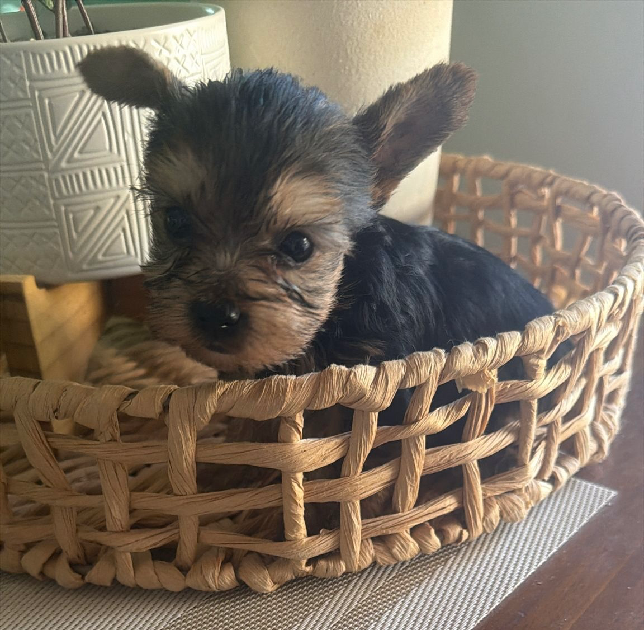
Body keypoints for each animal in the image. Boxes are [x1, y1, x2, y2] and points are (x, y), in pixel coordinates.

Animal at [79, 48, 567, 538]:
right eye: (175, 222)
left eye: (299, 246)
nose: (216, 315)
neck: (337, 308)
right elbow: (256, 428)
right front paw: (229, 468)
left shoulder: (382, 393)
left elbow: (347, 461)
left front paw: (310, 516)